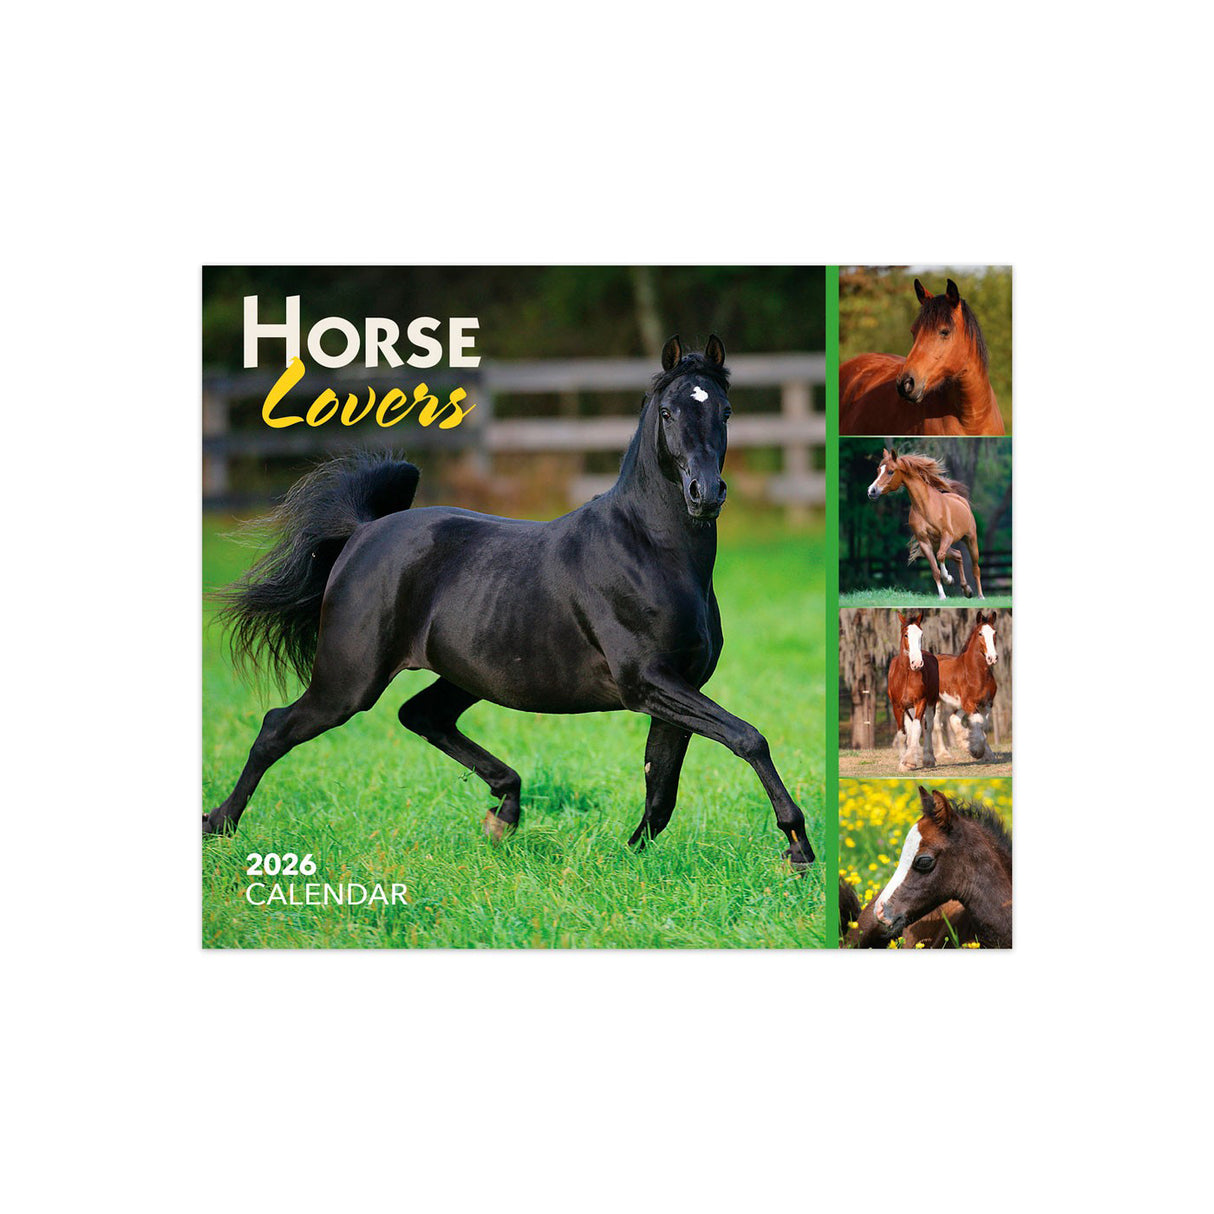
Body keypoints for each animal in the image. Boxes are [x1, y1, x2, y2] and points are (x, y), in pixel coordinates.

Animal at [204, 335, 816, 869]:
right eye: (668, 411)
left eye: (726, 411)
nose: (704, 494)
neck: (649, 549)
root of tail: (363, 532)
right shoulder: (647, 683)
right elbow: (748, 739)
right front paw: (798, 849)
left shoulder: (680, 687)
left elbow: (661, 789)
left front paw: (625, 858)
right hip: (348, 681)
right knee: (277, 727)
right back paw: (218, 824)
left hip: (464, 674)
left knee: (420, 715)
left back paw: (504, 813)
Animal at [867, 448, 984, 600]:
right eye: (878, 470)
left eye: (891, 471)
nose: (871, 491)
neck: (925, 507)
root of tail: (962, 500)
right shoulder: (924, 542)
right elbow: (935, 570)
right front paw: (942, 595)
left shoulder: (947, 535)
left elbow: (940, 557)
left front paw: (948, 578)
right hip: (937, 544)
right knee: (958, 555)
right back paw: (967, 589)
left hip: (970, 540)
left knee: (975, 568)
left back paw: (980, 595)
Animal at [887, 611, 938, 772]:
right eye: (906, 635)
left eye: (921, 635)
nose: (917, 663)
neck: (906, 675)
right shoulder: (897, 706)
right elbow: (902, 733)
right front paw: (902, 763)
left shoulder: (921, 701)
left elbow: (917, 728)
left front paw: (909, 761)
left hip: (932, 701)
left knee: (928, 727)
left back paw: (928, 759)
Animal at [933, 611, 1000, 762]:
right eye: (980, 633)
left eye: (995, 632)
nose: (992, 658)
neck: (976, 673)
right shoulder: (969, 703)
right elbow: (978, 722)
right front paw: (977, 751)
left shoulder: (987, 704)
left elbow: (984, 725)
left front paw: (987, 754)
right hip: (937, 701)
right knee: (937, 724)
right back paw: (944, 754)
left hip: (959, 704)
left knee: (953, 718)